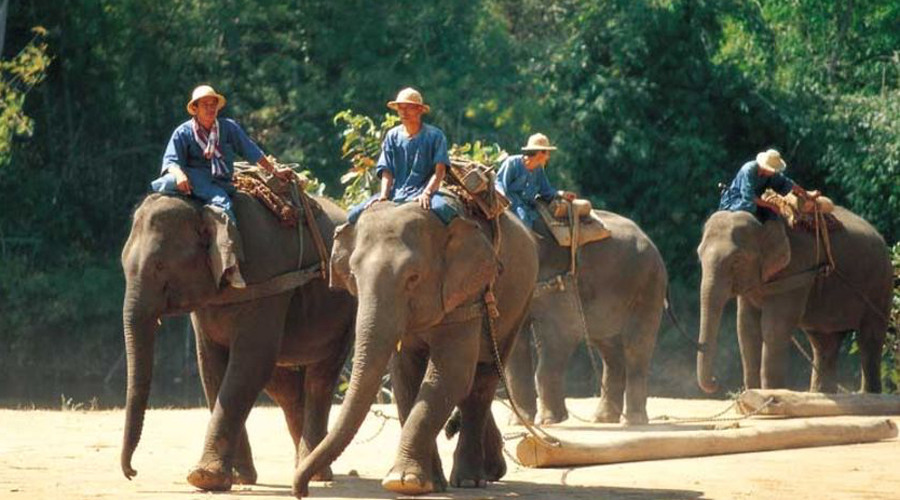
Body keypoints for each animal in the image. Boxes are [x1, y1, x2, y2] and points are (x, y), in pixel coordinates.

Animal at [118, 191, 356, 492]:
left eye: (159, 265)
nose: (132, 472)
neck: (202, 208)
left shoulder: (266, 279)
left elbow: (247, 364)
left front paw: (204, 477)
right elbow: (212, 367)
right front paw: (238, 477)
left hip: (346, 313)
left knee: (319, 378)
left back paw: (315, 474)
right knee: (284, 387)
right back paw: (304, 467)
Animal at [292, 201, 536, 498]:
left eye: (413, 277)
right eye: (353, 276)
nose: (301, 490)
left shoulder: (466, 294)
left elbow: (450, 374)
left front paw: (403, 481)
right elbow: (405, 377)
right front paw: (428, 483)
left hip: (519, 301)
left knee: (483, 378)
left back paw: (470, 480)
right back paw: (490, 470)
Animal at [506, 211, 668, 426]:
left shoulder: (560, 281)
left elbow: (562, 334)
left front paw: (550, 422)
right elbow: (516, 345)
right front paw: (519, 423)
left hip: (648, 285)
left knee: (636, 347)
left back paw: (633, 421)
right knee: (609, 350)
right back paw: (603, 419)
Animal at [696, 207, 892, 394]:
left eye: (737, 260)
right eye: (699, 256)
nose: (715, 381)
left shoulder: (797, 266)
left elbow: (775, 326)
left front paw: (772, 394)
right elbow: (746, 327)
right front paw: (751, 394)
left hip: (879, 285)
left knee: (869, 337)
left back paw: (868, 394)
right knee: (823, 342)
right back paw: (819, 393)